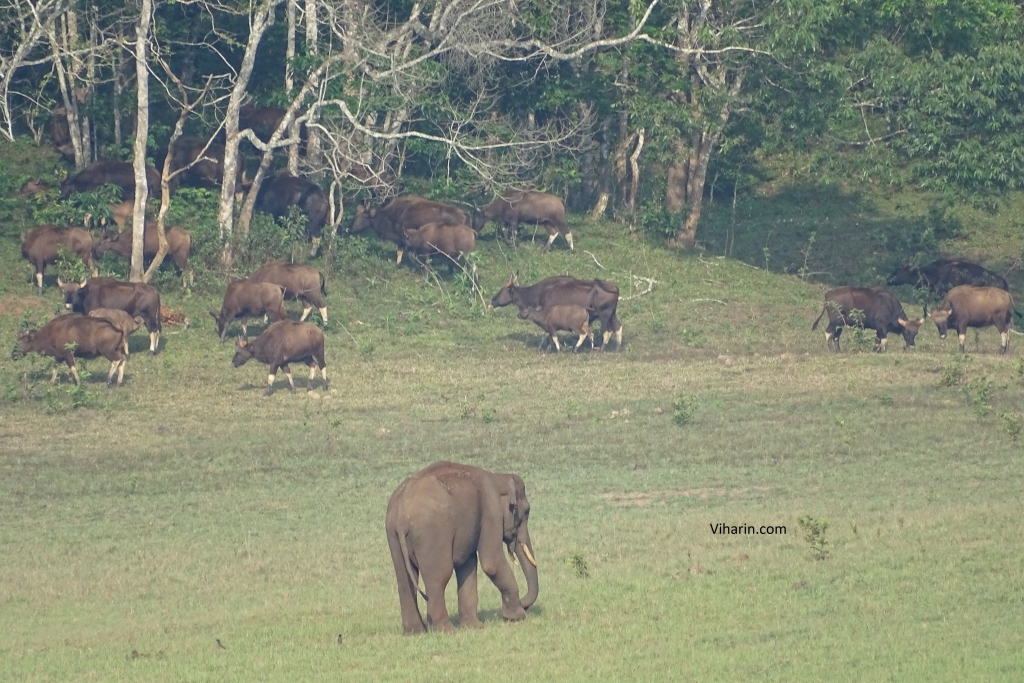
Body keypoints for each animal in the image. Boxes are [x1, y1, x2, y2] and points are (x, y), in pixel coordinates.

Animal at [385, 462, 540, 634]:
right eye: (527, 511)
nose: (524, 605)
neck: (497, 476)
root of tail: (401, 512)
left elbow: (468, 565)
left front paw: (474, 627)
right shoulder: (491, 511)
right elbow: (491, 563)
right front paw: (516, 617)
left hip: (393, 534)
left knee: (405, 581)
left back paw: (415, 632)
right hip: (433, 533)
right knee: (439, 577)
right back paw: (447, 630)